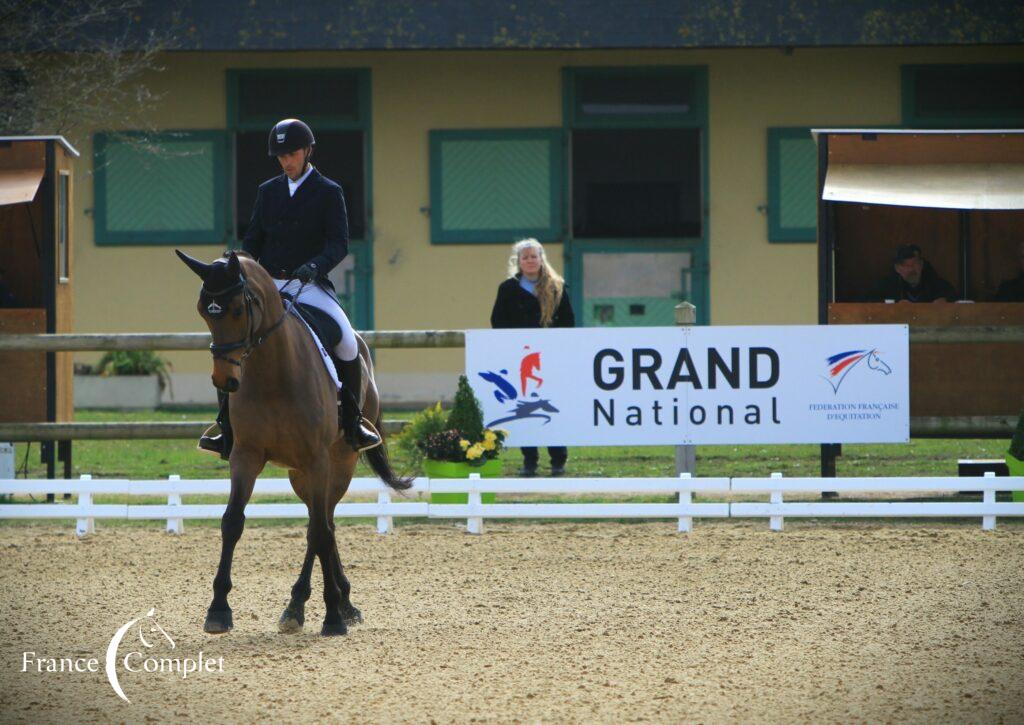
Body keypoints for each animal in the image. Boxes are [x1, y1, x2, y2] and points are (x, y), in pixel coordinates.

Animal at [176, 248, 411, 634]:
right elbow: (232, 521)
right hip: (299, 474)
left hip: (338, 463)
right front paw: (218, 610)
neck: (272, 373)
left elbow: (318, 532)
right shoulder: (246, 455)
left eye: (238, 309)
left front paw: (332, 617)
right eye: (203, 310)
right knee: (324, 522)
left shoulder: (317, 459)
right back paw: (309, 604)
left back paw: (329, 604)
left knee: (324, 523)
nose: (224, 380)